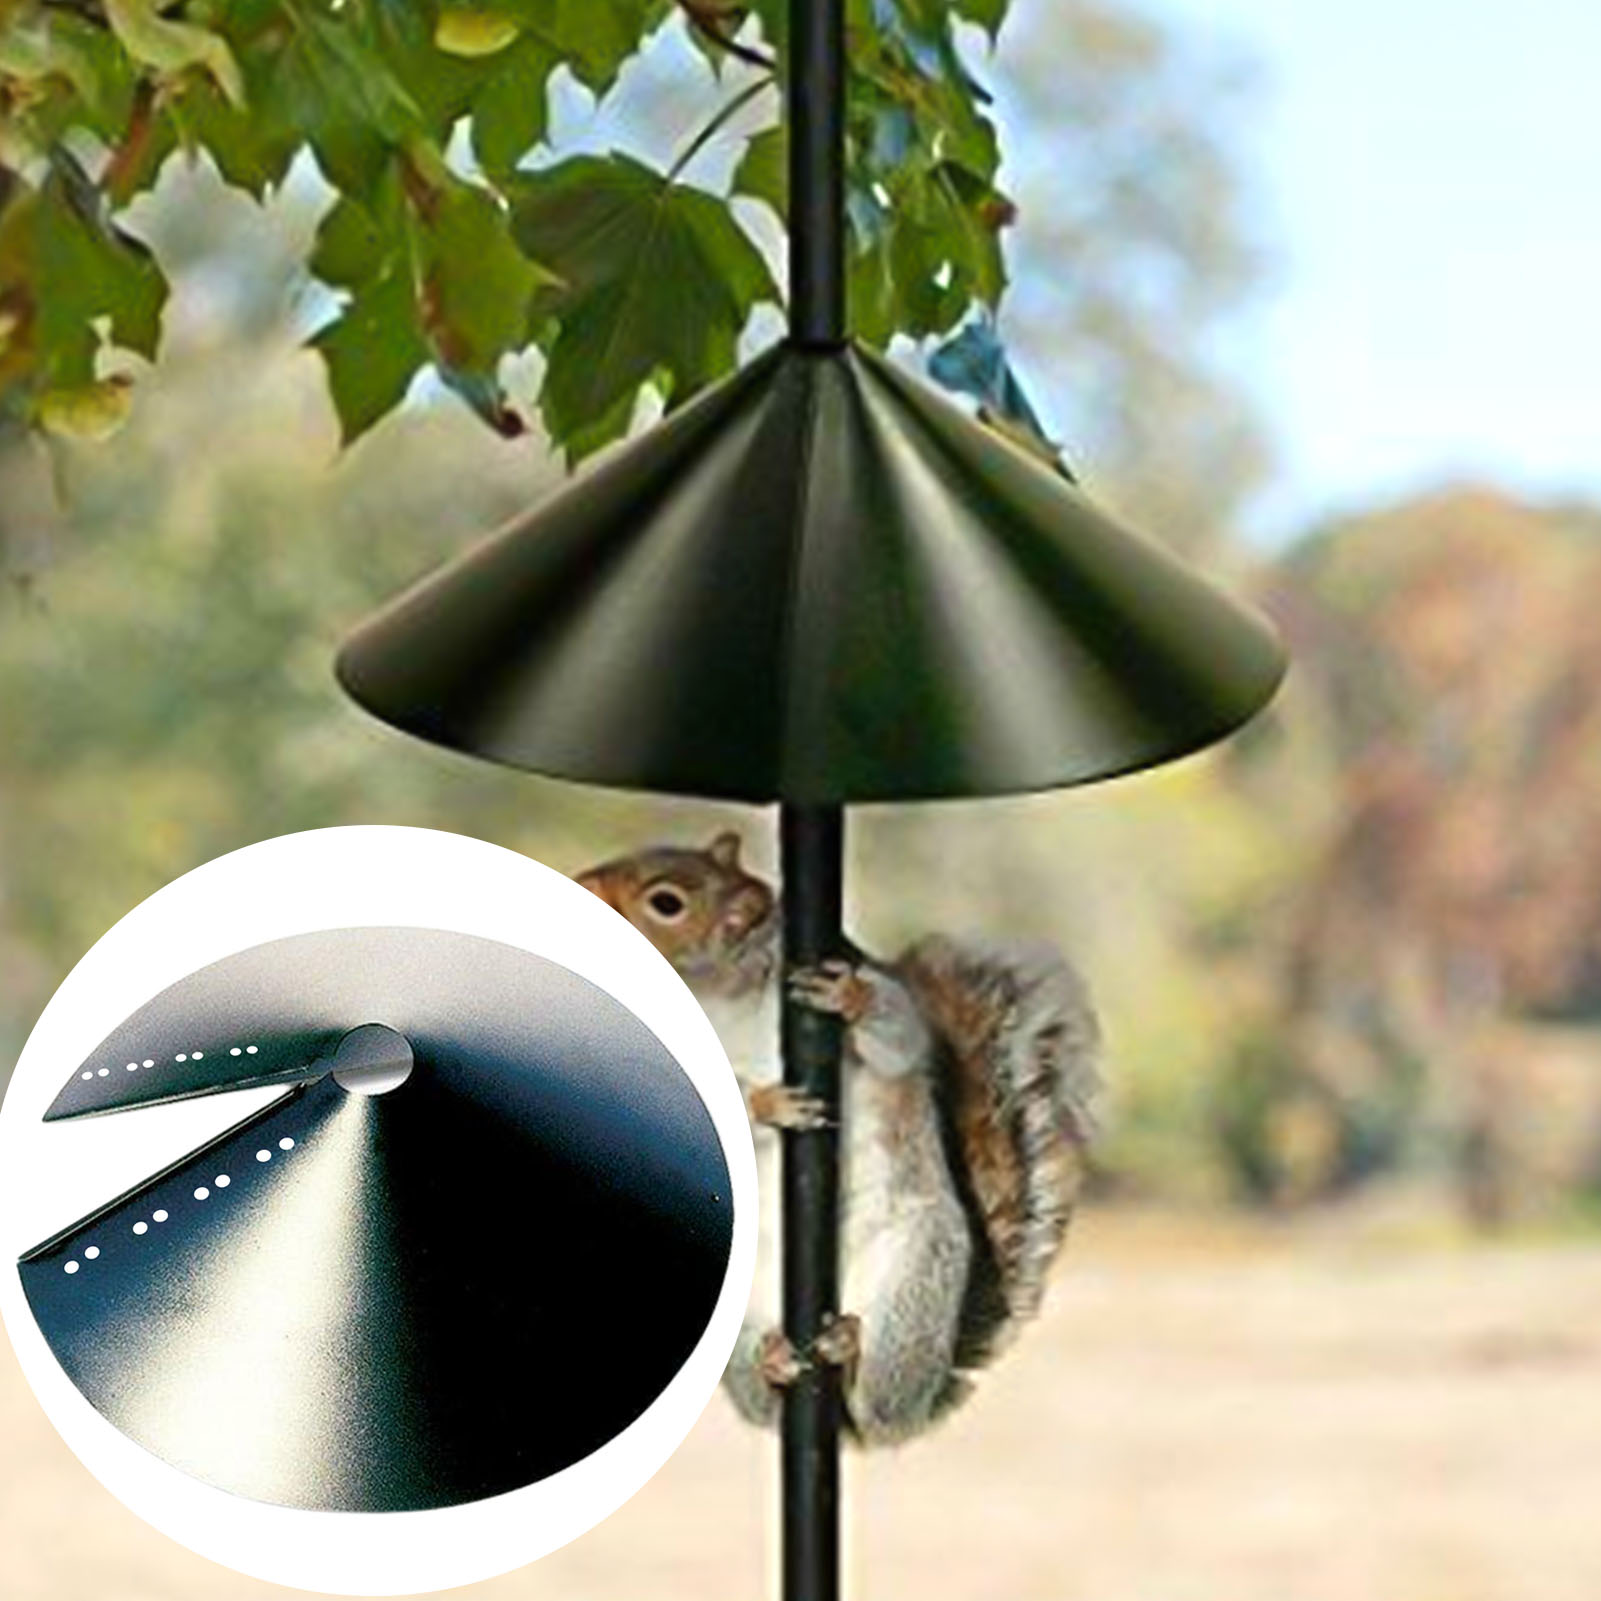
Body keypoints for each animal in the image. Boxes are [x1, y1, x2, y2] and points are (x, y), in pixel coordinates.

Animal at [577, 831, 1101, 1445]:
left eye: (666, 902)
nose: (583, 884)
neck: (721, 992)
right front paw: (767, 1104)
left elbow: (898, 1036)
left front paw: (850, 999)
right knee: (768, 1408)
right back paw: (770, 1362)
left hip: (915, 1276)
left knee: (880, 1403)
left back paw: (852, 1356)